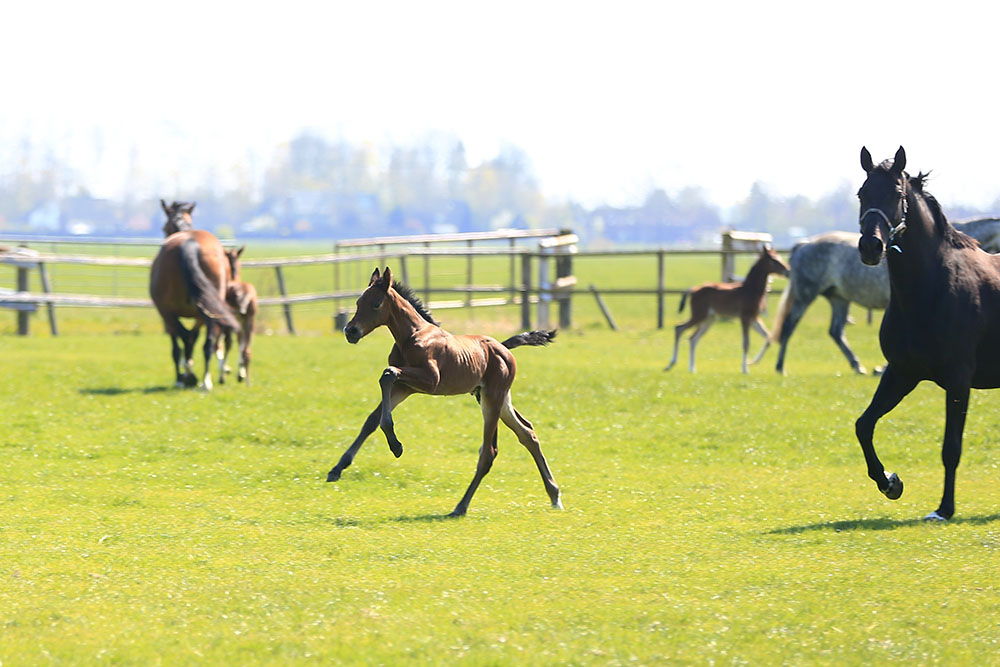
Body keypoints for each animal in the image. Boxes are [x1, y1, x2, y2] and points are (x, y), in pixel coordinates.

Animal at [149, 228, 239, 390]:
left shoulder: (171, 316)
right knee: (205, 344)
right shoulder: (198, 315)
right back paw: (204, 381)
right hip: (204, 313)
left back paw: (188, 377)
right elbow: (193, 338)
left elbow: (186, 340)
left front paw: (185, 375)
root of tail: (190, 242)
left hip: (169, 314)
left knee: (183, 342)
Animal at [326, 266, 562, 517]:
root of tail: (503, 348)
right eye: (358, 302)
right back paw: (554, 495)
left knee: (489, 452)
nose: (350, 331)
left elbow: (387, 373)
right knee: (527, 433)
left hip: (493, 398)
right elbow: (372, 418)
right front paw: (337, 469)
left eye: (376, 303)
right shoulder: (405, 387)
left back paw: (460, 507)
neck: (412, 335)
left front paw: (396, 447)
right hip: (494, 398)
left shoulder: (430, 381)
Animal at [855, 146, 1000, 521]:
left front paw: (944, 509)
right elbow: (864, 425)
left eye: (897, 194)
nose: (870, 247)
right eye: (862, 194)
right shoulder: (902, 373)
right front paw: (890, 482)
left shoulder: (959, 379)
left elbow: (951, 448)